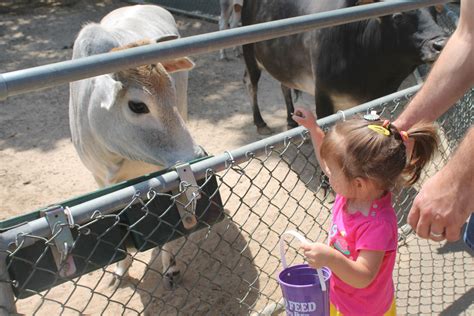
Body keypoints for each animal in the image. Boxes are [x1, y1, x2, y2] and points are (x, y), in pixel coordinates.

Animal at [68, 4, 204, 288]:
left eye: (171, 89)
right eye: (138, 105)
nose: (198, 155)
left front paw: (170, 267)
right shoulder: (99, 179)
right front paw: (120, 269)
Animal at [241, 0, 448, 134]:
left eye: (435, 12)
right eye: (398, 17)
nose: (441, 44)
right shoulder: (322, 96)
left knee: (284, 85)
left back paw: (291, 121)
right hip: (249, 54)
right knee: (251, 84)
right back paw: (260, 123)